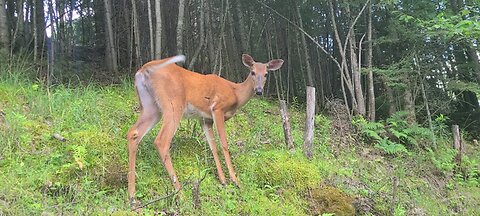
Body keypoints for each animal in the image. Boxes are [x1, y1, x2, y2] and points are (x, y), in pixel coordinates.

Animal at [127, 53, 284, 204]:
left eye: (266, 74)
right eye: (252, 72)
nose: (259, 90)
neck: (235, 93)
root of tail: (144, 69)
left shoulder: (205, 120)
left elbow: (212, 146)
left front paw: (223, 180)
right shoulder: (218, 109)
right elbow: (224, 144)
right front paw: (235, 180)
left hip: (151, 107)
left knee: (133, 133)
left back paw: (132, 196)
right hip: (173, 104)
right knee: (161, 141)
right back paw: (181, 195)